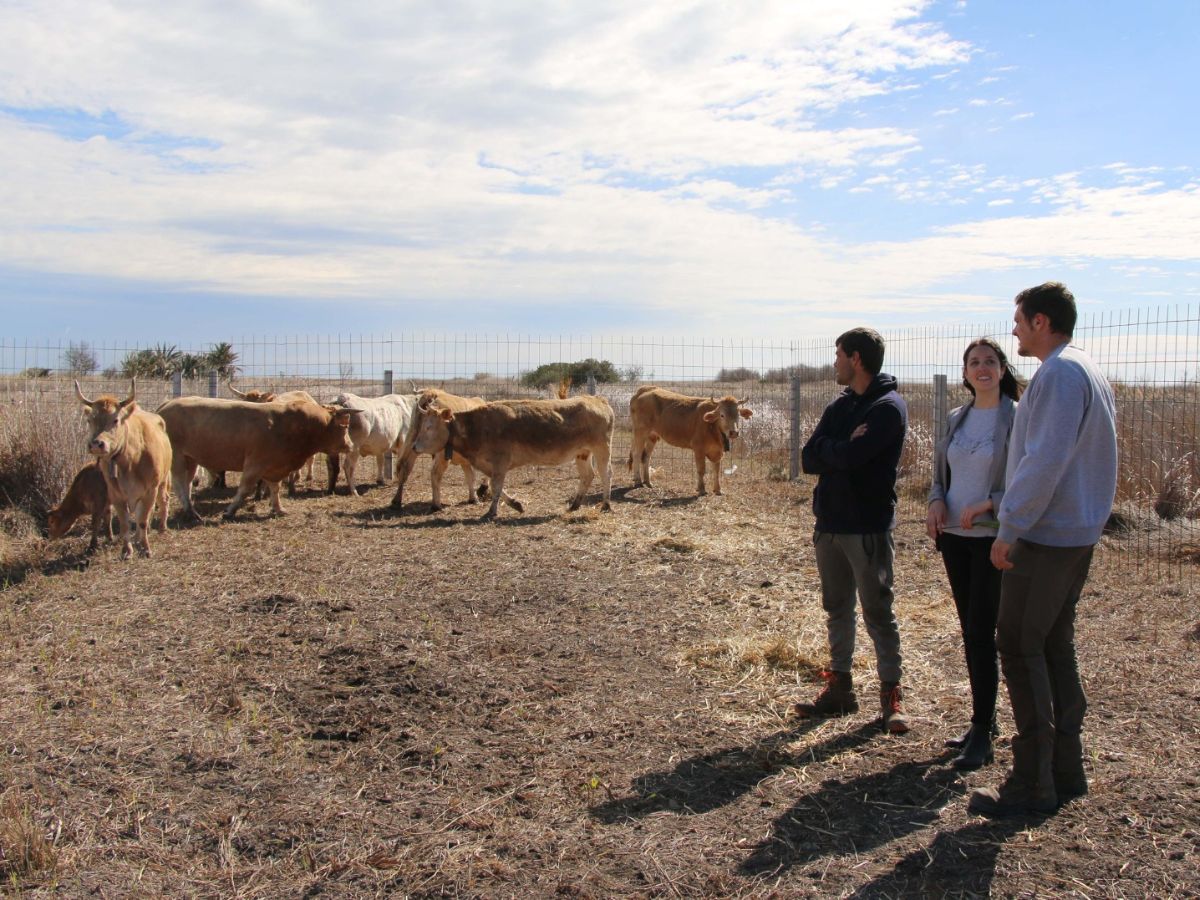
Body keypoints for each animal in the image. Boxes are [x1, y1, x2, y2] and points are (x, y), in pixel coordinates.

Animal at [74, 379, 171, 556]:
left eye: (115, 420)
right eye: (89, 420)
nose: (96, 444)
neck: (131, 460)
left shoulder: (150, 491)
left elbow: (143, 520)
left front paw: (145, 548)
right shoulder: (116, 495)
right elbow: (125, 523)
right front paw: (127, 550)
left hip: (163, 481)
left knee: (162, 501)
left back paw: (161, 528)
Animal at [154, 396, 352, 518]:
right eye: (343, 427)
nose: (350, 445)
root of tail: (165, 406)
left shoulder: (275, 467)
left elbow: (275, 489)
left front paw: (278, 508)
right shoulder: (255, 464)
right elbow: (244, 489)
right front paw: (230, 511)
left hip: (191, 459)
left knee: (187, 483)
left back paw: (189, 508)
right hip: (178, 457)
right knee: (180, 483)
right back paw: (191, 512)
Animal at [415, 396, 619, 518]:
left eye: (429, 426)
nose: (415, 446)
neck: (478, 426)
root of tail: (596, 399)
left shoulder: (500, 462)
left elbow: (496, 487)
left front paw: (492, 511)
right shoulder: (490, 465)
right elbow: (495, 486)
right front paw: (515, 504)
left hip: (602, 448)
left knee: (606, 474)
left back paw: (606, 505)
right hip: (582, 453)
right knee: (587, 476)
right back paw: (575, 504)